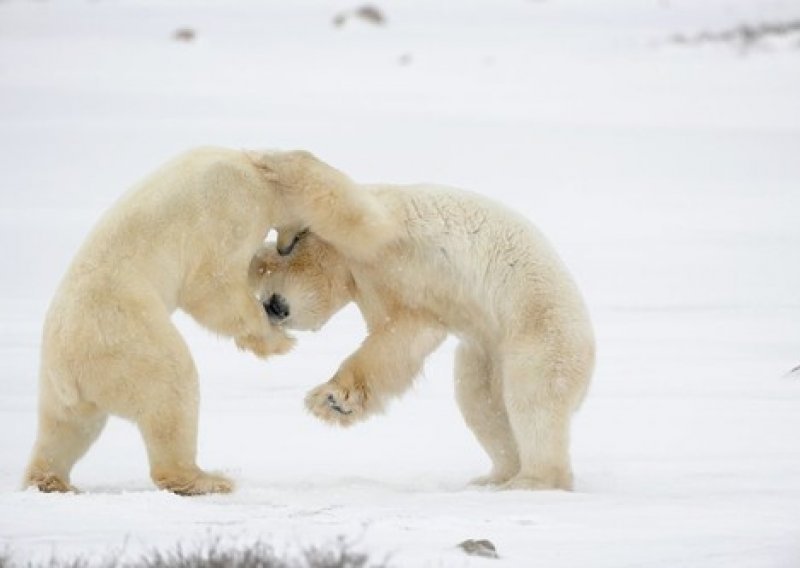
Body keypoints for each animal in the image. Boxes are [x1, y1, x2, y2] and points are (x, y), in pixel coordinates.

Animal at [23, 148, 398, 496]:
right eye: (304, 235)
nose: (285, 246)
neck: (256, 170)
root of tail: (67, 369)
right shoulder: (231, 205)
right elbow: (211, 284)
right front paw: (277, 339)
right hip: (128, 336)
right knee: (172, 386)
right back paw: (205, 479)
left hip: (61, 380)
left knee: (65, 427)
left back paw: (49, 480)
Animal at [253, 153, 596, 490]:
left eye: (271, 296)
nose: (271, 308)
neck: (354, 266)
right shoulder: (387, 290)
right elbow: (400, 341)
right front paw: (337, 402)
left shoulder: (386, 235)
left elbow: (349, 206)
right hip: (484, 353)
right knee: (481, 403)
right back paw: (494, 476)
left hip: (539, 329)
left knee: (534, 398)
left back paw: (532, 480)